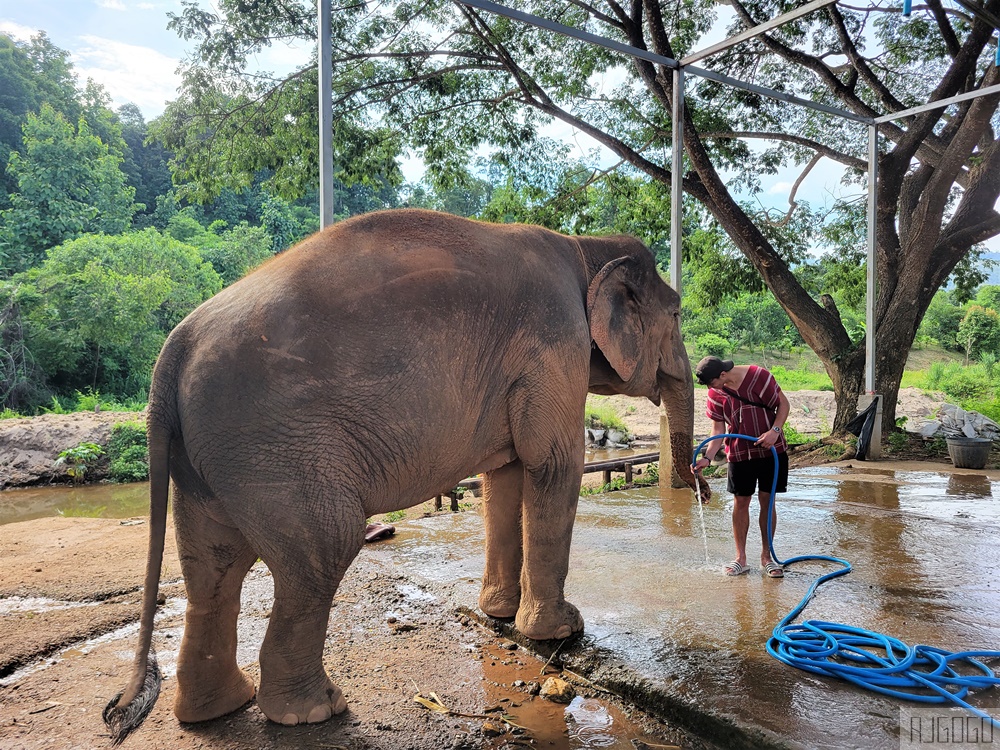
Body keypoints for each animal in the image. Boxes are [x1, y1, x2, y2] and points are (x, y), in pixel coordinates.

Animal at [104, 208, 708, 743]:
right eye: (678, 316)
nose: (701, 485)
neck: (587, 246)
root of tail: (170, 356)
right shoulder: (554, 347)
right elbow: (554, 464)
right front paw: (563, 631)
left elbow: (507, 474)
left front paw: (499, 614)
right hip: (271, 448)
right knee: (322, 549)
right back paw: (315, 712)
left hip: (211, 460)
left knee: (212, 567)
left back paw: (220, 709)